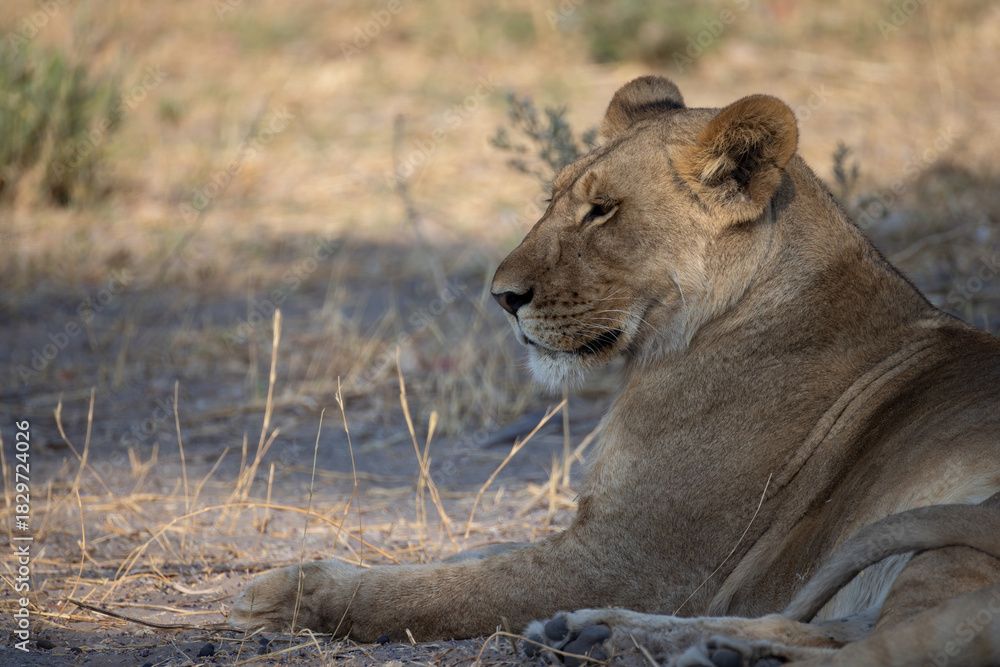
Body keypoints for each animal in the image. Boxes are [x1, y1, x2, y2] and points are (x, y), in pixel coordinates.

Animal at [230, 76, 1000, 665]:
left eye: (602, 211)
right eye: (553, 197)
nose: (501, 297)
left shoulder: (631, 560)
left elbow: (452, 590)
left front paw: (290, 591)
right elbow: (480, 553)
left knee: (877, 648)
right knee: (829, 630)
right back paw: (617, 636)